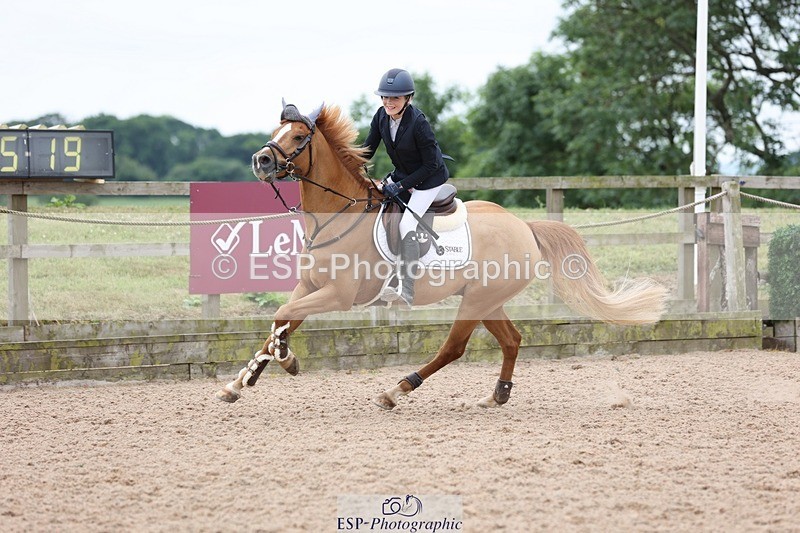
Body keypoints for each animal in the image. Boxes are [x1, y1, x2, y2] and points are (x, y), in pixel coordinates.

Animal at [215, 102, 668, 409]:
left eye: (297, 137)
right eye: (277, 130)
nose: (260, 160)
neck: (338, 215)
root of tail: (524, 226)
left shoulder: (338, 296)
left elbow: (281, 317)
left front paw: (284, 361)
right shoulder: (309, 286)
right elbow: (282, 319)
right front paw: (242, 381)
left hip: (476, 301)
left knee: (453, 348)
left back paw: (396, 390)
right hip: (486, 299)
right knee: (512, 340)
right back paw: (497, 396)